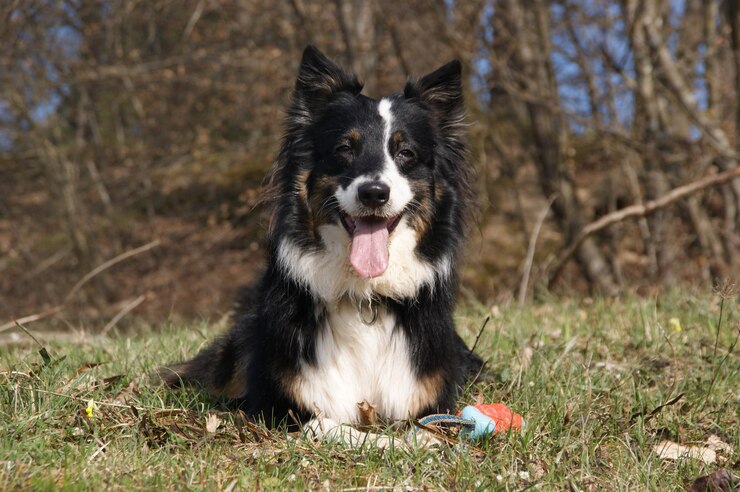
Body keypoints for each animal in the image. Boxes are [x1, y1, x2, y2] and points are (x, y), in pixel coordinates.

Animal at [163, 48, 480, 428]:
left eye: (406, 153)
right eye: (345, 149)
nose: (374, 193)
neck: (365, 296)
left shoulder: (427, 399)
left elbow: (422, 429)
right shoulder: (278, 405)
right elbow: (334, 426)